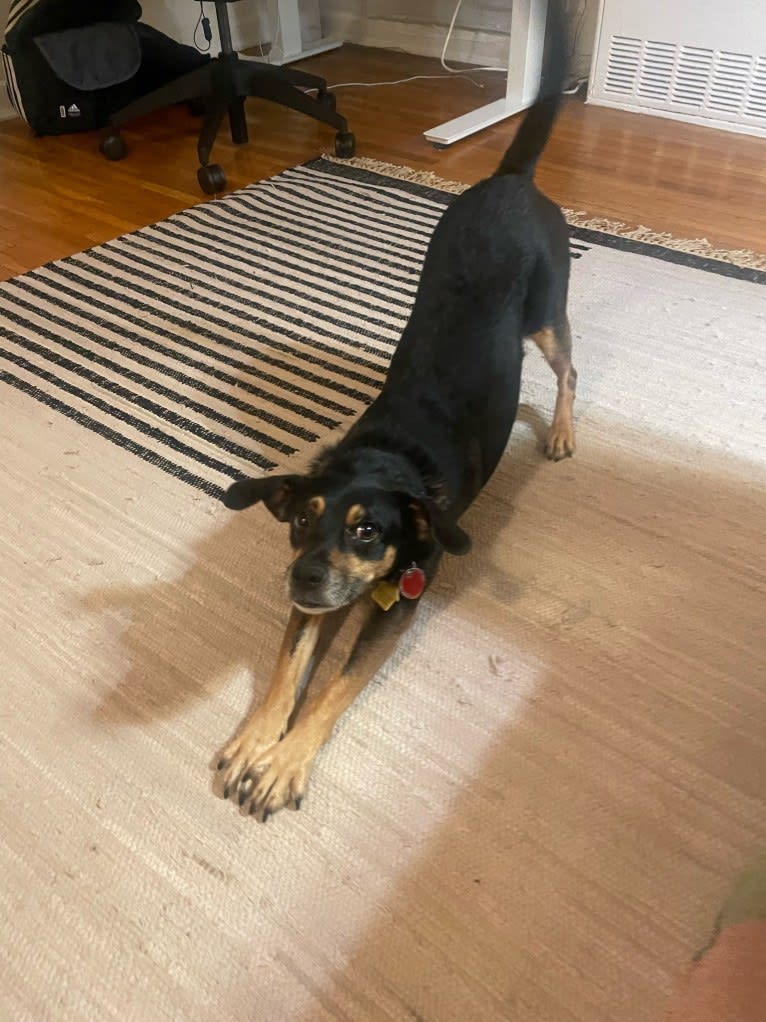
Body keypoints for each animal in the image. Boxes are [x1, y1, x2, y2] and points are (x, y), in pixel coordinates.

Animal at [216, 0, 576, 813]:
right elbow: (288, 668)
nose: (302, 578)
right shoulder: (319, 600)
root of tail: (510, 180)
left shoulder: (400, 603)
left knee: (571, 367)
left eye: (369, 530)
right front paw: (254, 740)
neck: (389, 461)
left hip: (547, 313)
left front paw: (283, 764)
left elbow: (333, 690)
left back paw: (565, 434)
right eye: (300, 523)